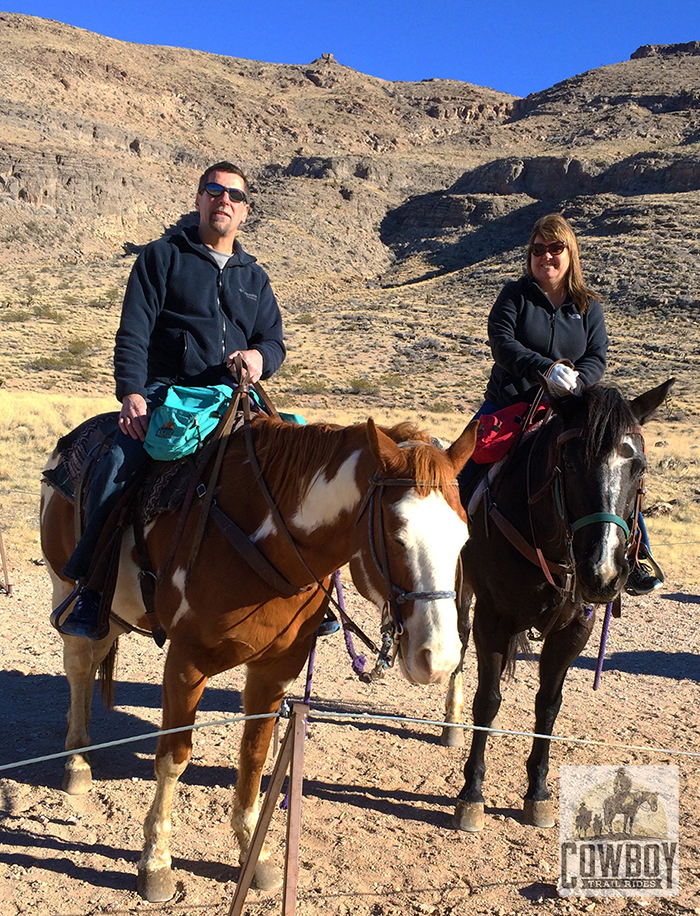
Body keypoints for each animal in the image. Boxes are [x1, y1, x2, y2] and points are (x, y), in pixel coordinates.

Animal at [42, 416, 476, 900]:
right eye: (397, 537)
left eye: (464, 538)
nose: (439, 658)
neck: (265, 542)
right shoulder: (186, 663)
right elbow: (173, 758)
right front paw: (156, 862)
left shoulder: (276, 669)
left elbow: (255, 754)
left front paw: (256, 854)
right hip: (67, 590)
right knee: (79, 667)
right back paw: (77, 761)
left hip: (115, 611)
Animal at [442, 378, 672, 832]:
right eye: (569, 461)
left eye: (639, 467)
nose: (602, 572)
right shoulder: (492, 619)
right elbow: (488, 699)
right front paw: (472, 794)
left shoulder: (576, 628)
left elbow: (548, 705)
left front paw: (539, 793)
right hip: (463, 590)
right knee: (458, 642)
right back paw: (451, 723)